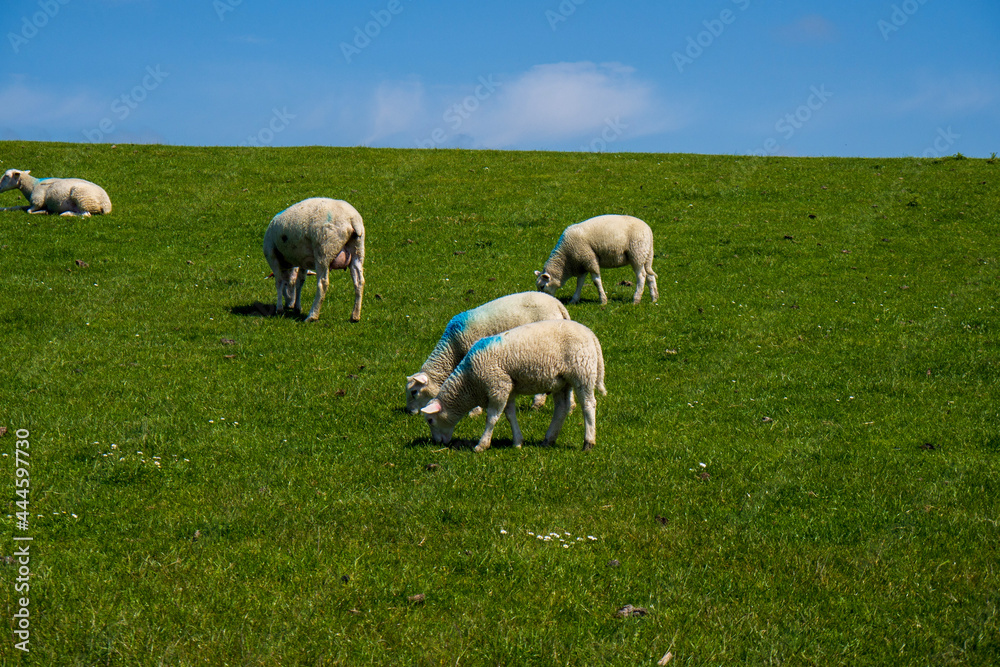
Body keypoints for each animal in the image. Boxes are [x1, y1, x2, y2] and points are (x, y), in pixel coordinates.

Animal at [406, 292, 571, 416]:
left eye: (414, 392)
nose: (410, 413)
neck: (452, 349)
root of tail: (558, 304)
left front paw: (474, 411)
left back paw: (538, 403)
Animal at [420, 319, 606, 453]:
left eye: (430, 420)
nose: (436, 443)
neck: (469, 382)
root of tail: (591, 334)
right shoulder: (507, 388)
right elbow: (510, 415)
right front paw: (517, 442)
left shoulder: (498, 386)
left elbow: (492, 418)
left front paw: (482, 445)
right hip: (561, 381)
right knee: (562, 408)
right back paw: (548, 439)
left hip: (582, 372)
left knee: (589, 405)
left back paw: (588, 443)